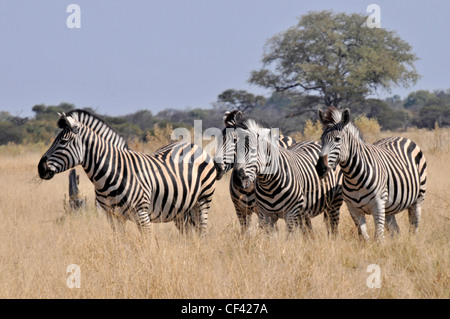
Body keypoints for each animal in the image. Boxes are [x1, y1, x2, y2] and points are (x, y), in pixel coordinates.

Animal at [37, 110, 216, 235]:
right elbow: (120, 244)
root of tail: (193, 145)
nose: (40, 168)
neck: (113, 173)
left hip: (202, 201)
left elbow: (147, 245)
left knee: (201, 233)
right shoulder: (113, 216)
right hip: (181, 209)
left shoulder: (142, 214)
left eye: (63, 141)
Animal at [314, 106, 428, 241]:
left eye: (337, 139)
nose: (320, 168)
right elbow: (364, 237)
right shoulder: (353, 209)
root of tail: (401, 137)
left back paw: (412, 240)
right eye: (321, 139)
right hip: (389, 207)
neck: (353, 177)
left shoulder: (378, 206)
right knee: (395, 229)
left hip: (418, 197)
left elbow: (378, 238)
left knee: (414, 224)